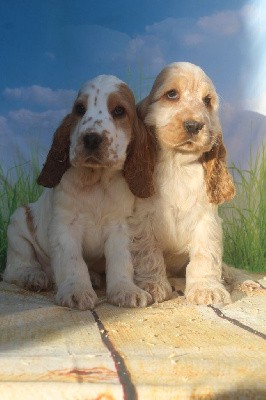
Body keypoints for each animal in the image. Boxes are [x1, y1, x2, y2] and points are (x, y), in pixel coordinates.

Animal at [3, 74, 154, 310]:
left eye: (119, 110)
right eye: (80, 109)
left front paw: (126, 290)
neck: (97, 181)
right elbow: (73, 261)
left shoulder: (121, 228)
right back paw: (33, 276)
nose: (91, 139)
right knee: (15, 267)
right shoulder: (65, 227)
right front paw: (76, 291)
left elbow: (121, 262)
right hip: (18, 223)